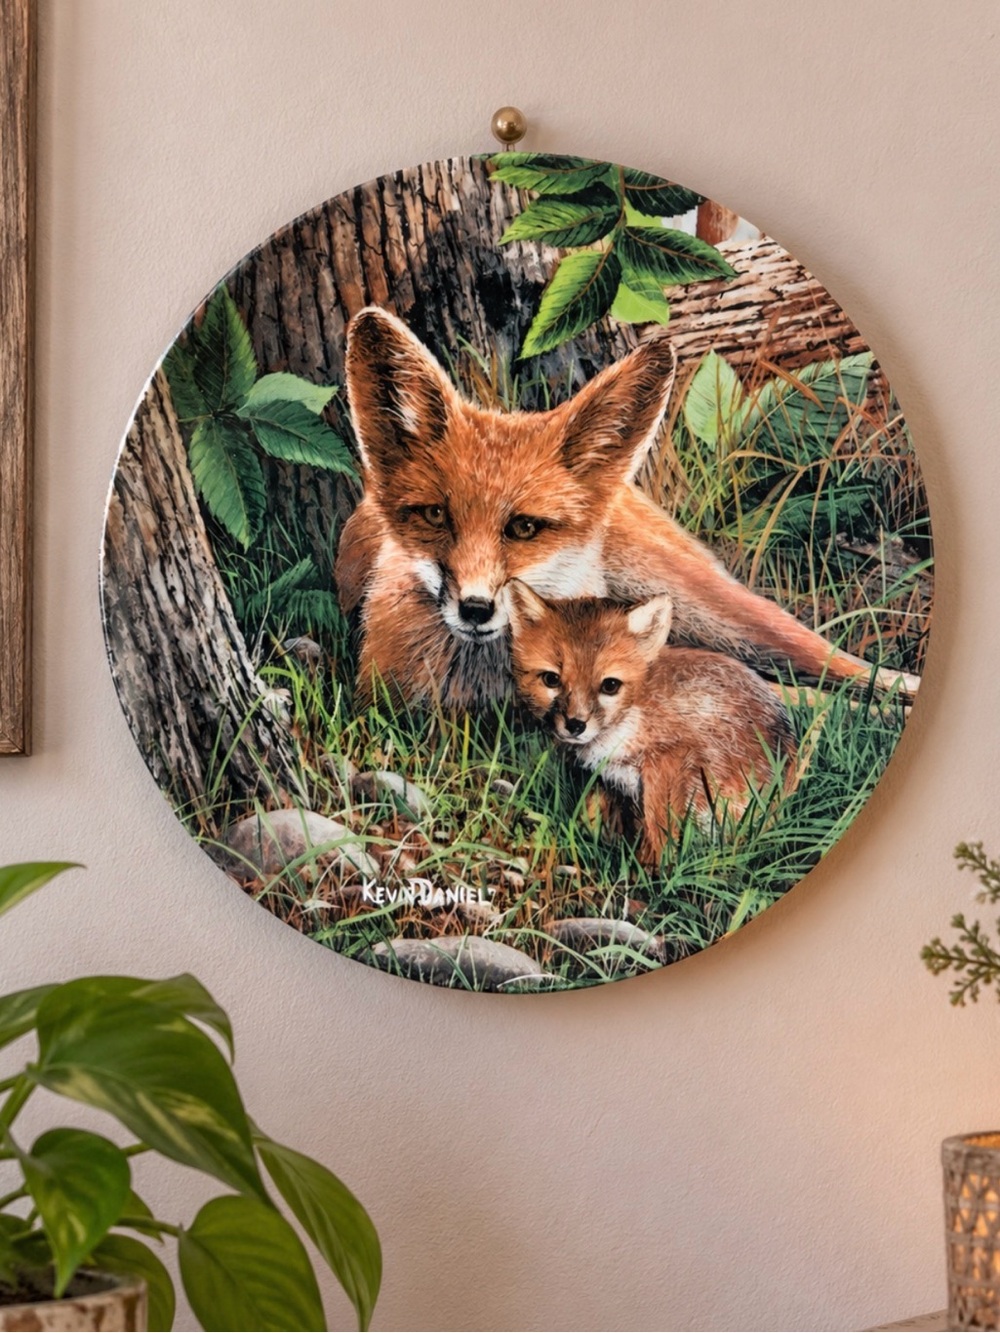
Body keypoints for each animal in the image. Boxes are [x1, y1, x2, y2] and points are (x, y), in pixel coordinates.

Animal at [507, 581, 799, 865]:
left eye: (610, 685)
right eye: (551, 680)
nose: (575, 725)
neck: (636, 710)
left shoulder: (671, 760)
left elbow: (659, 830)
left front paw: (650, 873)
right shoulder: (611, 782)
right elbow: (594, 814)